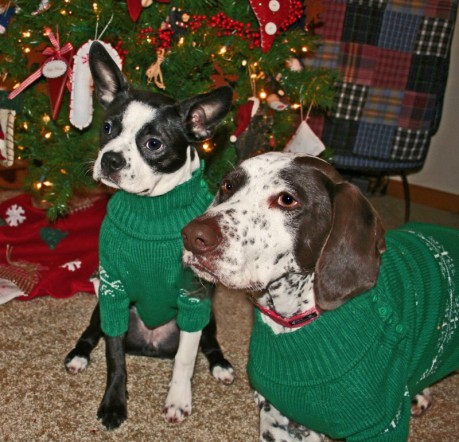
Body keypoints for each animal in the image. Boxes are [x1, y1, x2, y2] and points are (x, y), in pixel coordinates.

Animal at [64, 41, 235, 430]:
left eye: (154, 143)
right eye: (107, 127)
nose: (110, 159)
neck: (151, 210)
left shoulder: (194, 295)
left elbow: (185, 359)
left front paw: (178, 401)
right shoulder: (113, 290)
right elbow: (114, 358)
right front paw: (114, 404)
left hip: (209, 317)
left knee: (208, 344)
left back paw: (221, 366)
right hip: (101, 307)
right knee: (92, 334)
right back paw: (78, 356)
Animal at [181, 151, 459, 441]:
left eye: (287, 199)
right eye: (227, 186)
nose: (192, 236)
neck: (293, 322)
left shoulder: (382, 426)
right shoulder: (278, 419)